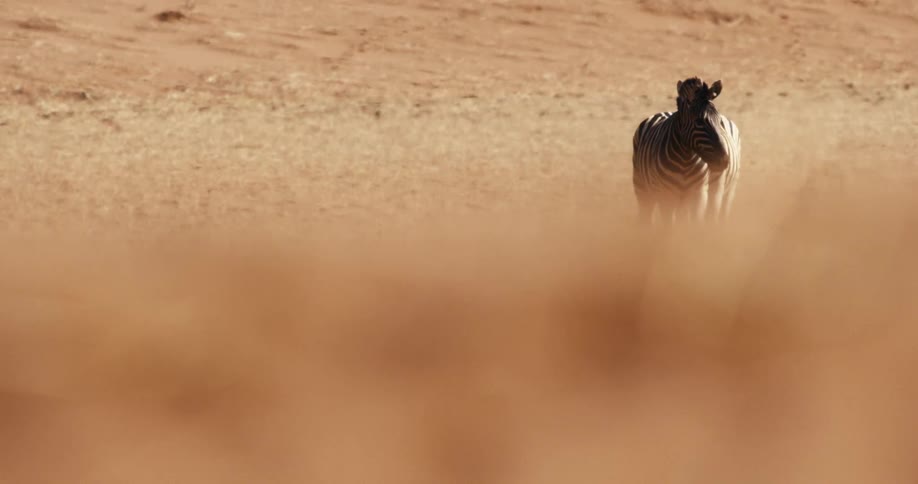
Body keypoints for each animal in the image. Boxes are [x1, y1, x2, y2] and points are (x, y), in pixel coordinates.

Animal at [631, 77, 741, 225]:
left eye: (720, 122)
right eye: (699, 122)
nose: (724, 160)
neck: (685, 161)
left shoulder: (699, 195)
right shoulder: (666, 196)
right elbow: (667, 227)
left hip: (724, 191)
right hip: (642, 188)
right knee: (646, 216)